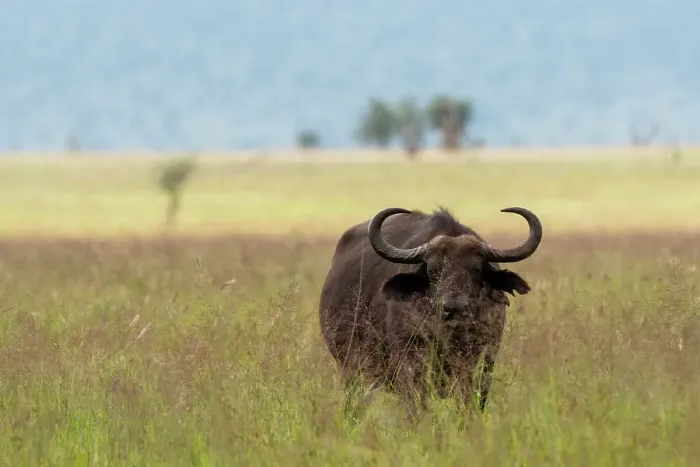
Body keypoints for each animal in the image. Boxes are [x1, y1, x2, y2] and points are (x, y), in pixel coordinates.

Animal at [318, 205, 543, 414]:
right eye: (433, 271)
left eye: (476, 270)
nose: (453, 307)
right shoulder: (409, 363)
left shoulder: (483, 361)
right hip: (351, 369)